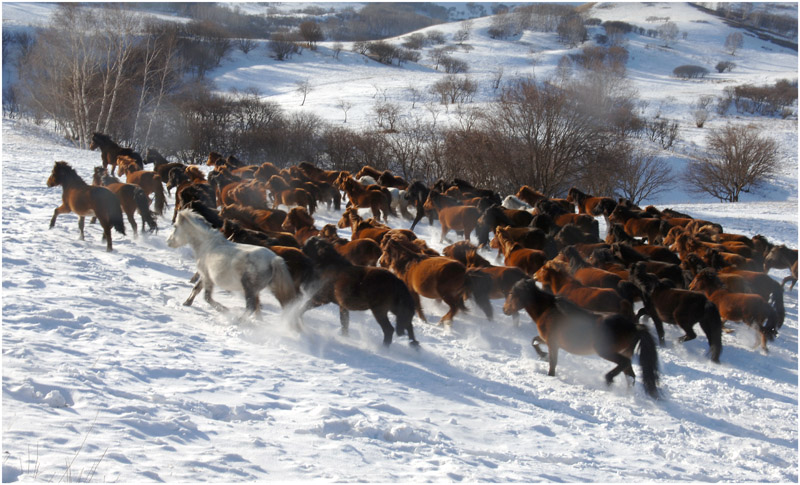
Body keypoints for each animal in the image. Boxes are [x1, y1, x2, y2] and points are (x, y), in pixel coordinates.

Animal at [167, 209, 298, 320]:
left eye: (175, 227)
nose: (168, 241)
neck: (207, 244)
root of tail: (273, 259)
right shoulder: (204, 275)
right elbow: (196, 289)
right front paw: (187, 302)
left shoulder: (207, 276)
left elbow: (207, 297)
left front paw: (224, 309)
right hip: (260, 289)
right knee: (257, 307)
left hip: (249, 288)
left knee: (251, 307)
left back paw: (238, 321)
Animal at [504, 276, 660, 398]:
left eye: (511, 293)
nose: (504, 309)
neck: (547, 311)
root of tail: (634, 326)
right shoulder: (547, 340)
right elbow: (534, 341)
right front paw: (543, 356)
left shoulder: (553, 343)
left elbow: (553, 362)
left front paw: (550, 373)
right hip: (623, 351)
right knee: (630, 375)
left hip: (605, 351)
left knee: (625, 364)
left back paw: (608, 379)